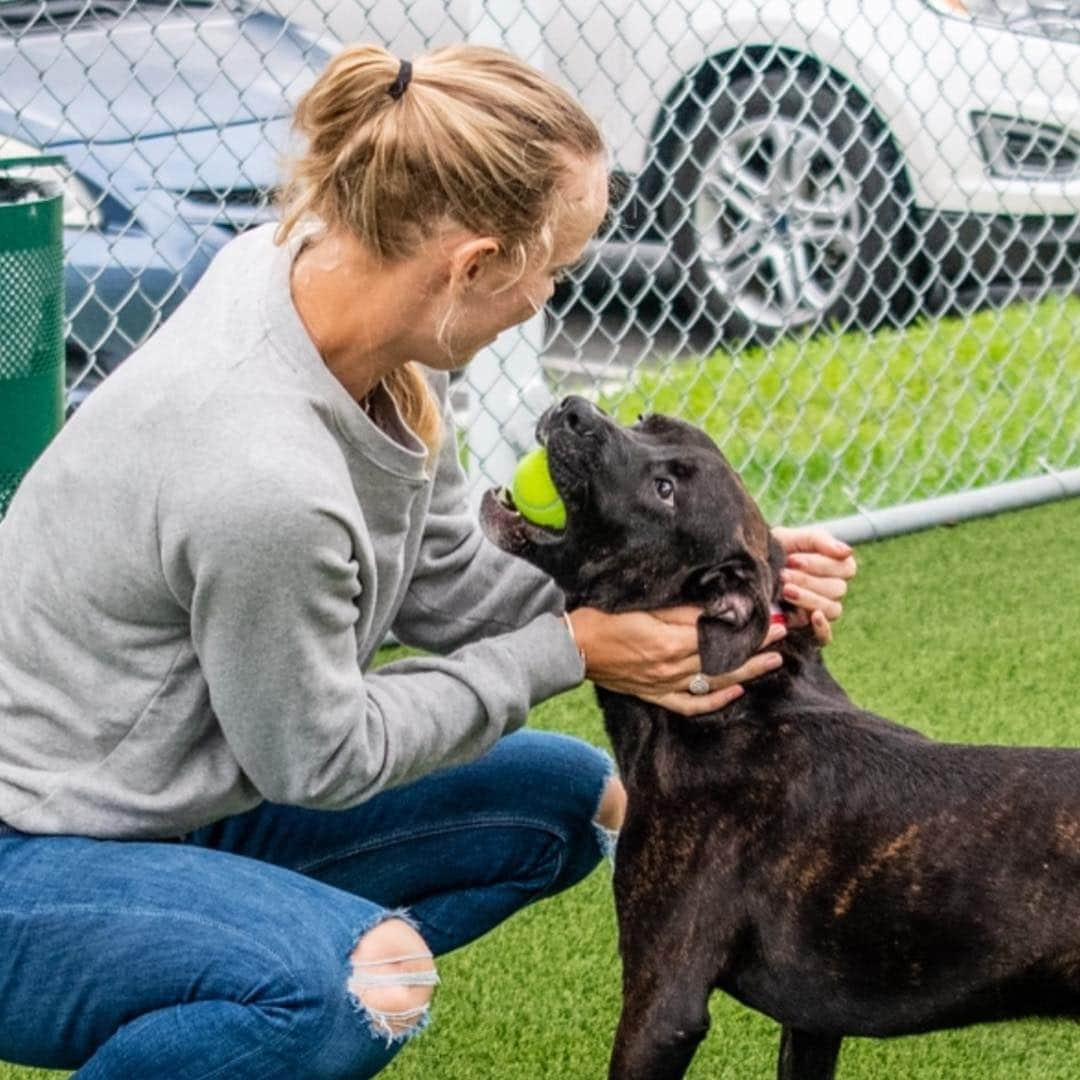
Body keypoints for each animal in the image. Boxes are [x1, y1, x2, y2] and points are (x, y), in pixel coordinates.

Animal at [483, 397, 1080, 1080]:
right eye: (648, 420)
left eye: (665, 492)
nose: (576, 408)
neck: (740, 708)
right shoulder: (814, 1019)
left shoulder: (662, 1005)